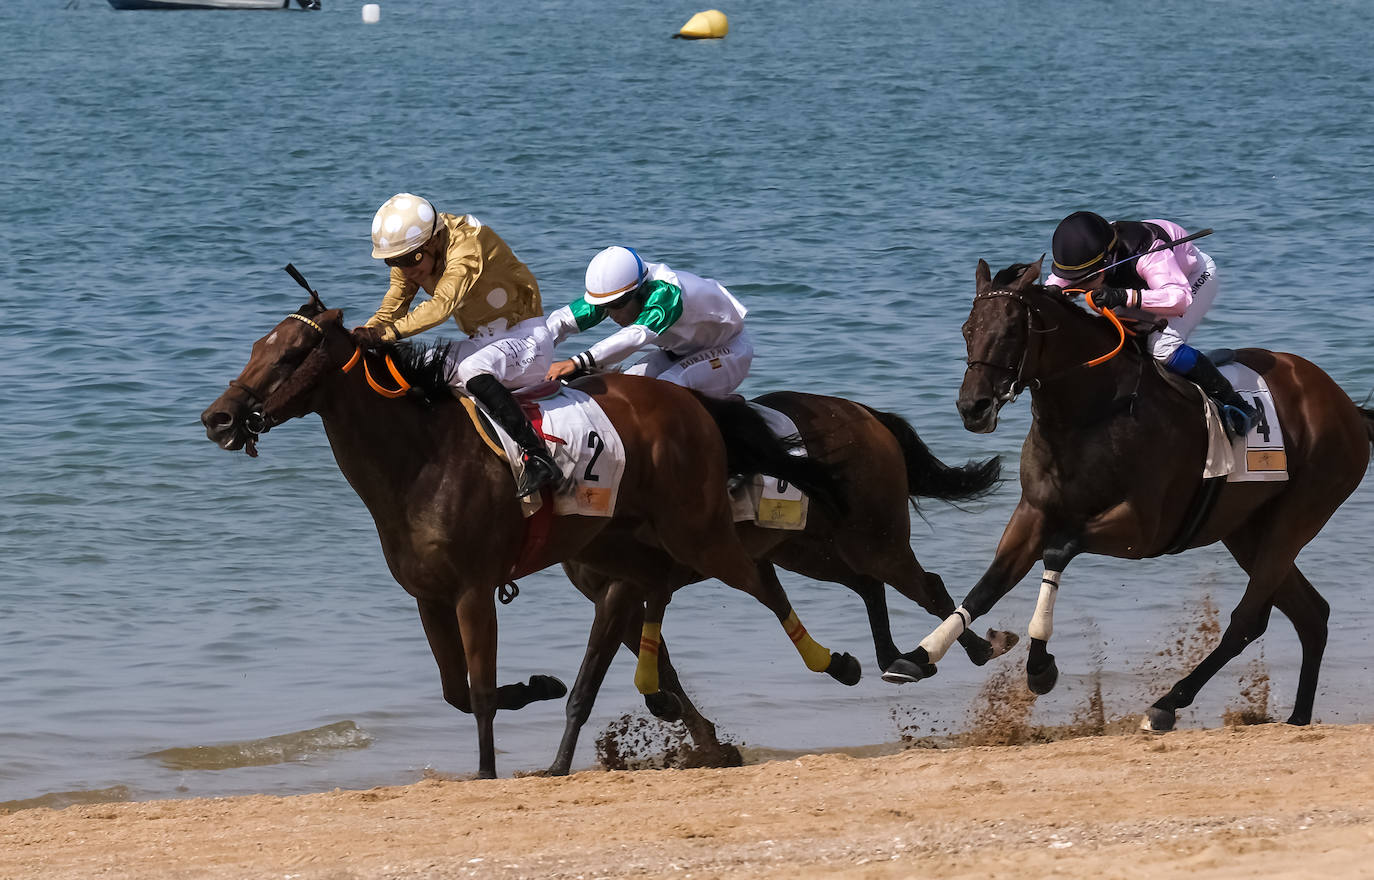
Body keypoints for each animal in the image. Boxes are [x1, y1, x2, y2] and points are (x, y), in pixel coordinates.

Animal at [200, 290, 857, 778]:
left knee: (760, 581)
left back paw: (838, 663)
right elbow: (456, 690)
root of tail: (689, 400)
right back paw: (681, 715)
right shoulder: (429, 596)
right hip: (623, 542)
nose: (219, 417)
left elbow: (478, 691)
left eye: (291, 354)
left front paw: (488, 770)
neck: (423, 460)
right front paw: (538, 685)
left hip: (696, 529)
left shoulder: (473, 590)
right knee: (657, 592)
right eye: (258, 346)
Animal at [549, 391, 1017, 775]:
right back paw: (891, 658)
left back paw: (972, 650)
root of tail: (864, 412)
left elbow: (587, 685)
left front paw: (557, 766)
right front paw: (709, 743)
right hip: (806, 548)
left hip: (873, 538)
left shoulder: (622, 590)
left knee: (926, 585)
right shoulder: (618, 595)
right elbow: (664, 669)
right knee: (868, 586)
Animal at [888, 258, 1374, 732]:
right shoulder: (1034, 511)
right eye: (967, 328)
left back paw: (1167, 704)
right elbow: (988, 586)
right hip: (1246, 530)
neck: (1090, 413)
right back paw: (1298, 717)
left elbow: (1057, 551)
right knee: (1311, 613)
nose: (973, 408)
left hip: (1298, 515)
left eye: (1010, 330)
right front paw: (918, 656)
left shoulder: (1143, 530)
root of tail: (1345, 405)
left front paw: (1040, 666)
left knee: (1248, 619)